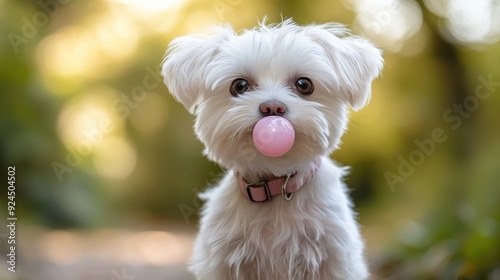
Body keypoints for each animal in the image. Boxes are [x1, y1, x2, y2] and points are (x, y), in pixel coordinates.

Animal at [162, 18, 380, 278]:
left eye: (304, 84)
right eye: (240, 85)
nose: (272, 108)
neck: (275, 184)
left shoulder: (334, 259)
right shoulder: (223, 262)